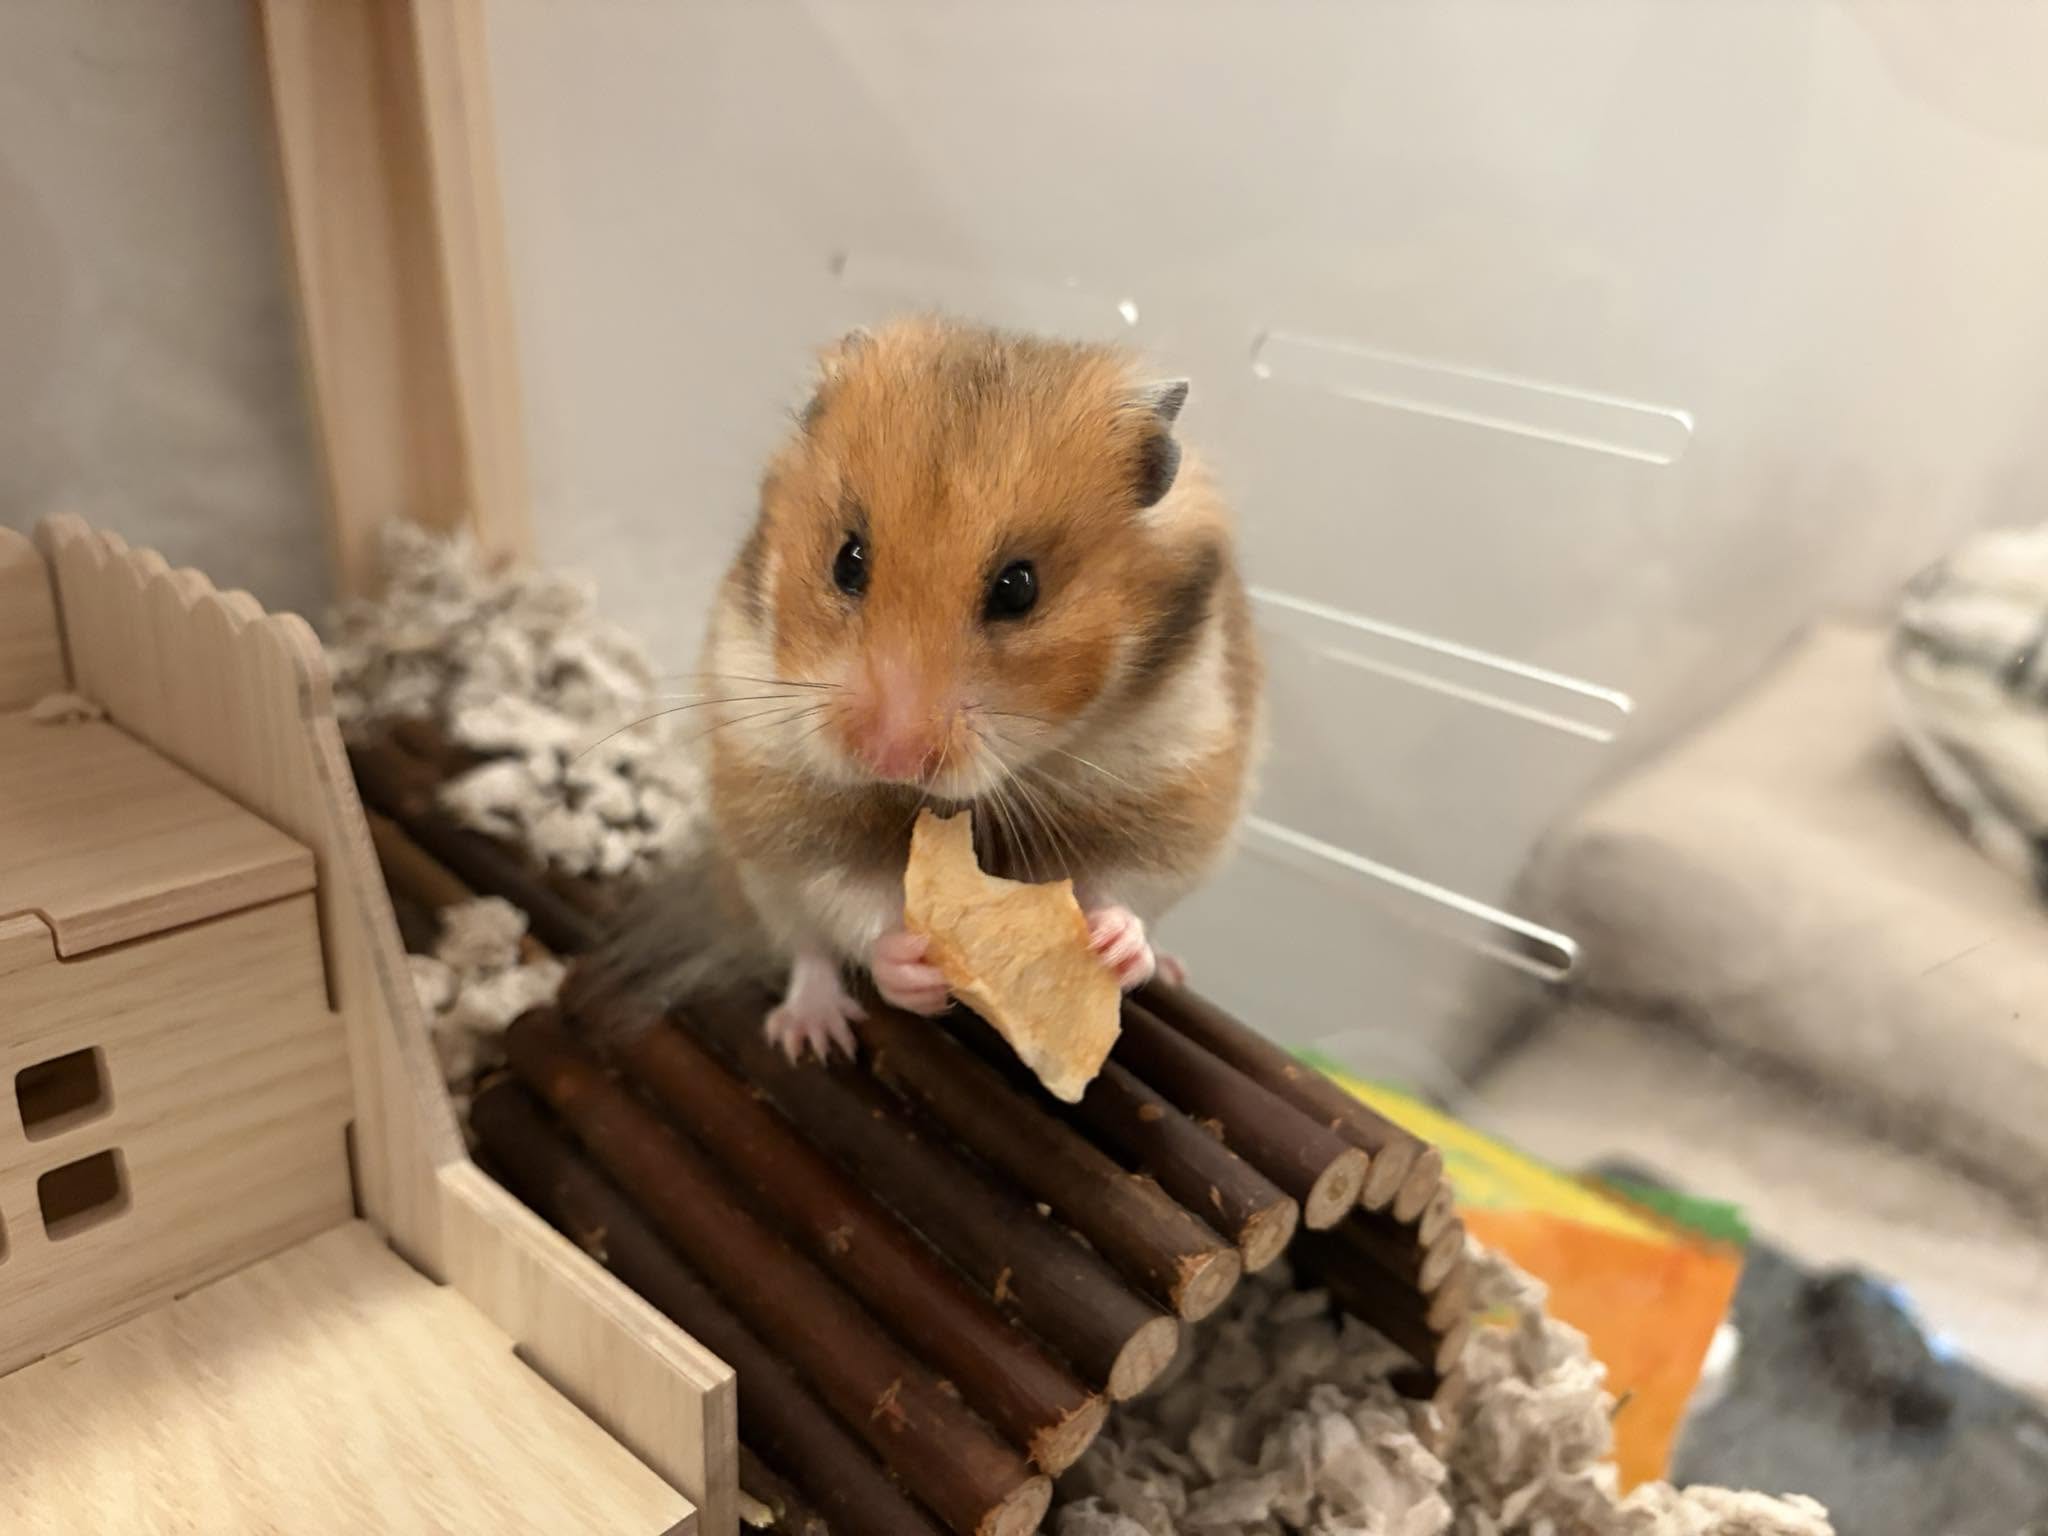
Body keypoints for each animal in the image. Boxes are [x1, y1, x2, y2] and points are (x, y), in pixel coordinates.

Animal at [606, 317, 1263, 1061]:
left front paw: (1114, 947)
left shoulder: (1174, 786)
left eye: (1019, 588)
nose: (889, 757)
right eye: (847, 560)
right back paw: (812, 1035)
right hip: (757, 865)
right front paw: (914, 969)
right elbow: (853, 897)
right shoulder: (789, 793)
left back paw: (1170, 970)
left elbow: (1127, 889)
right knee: (805, 947)